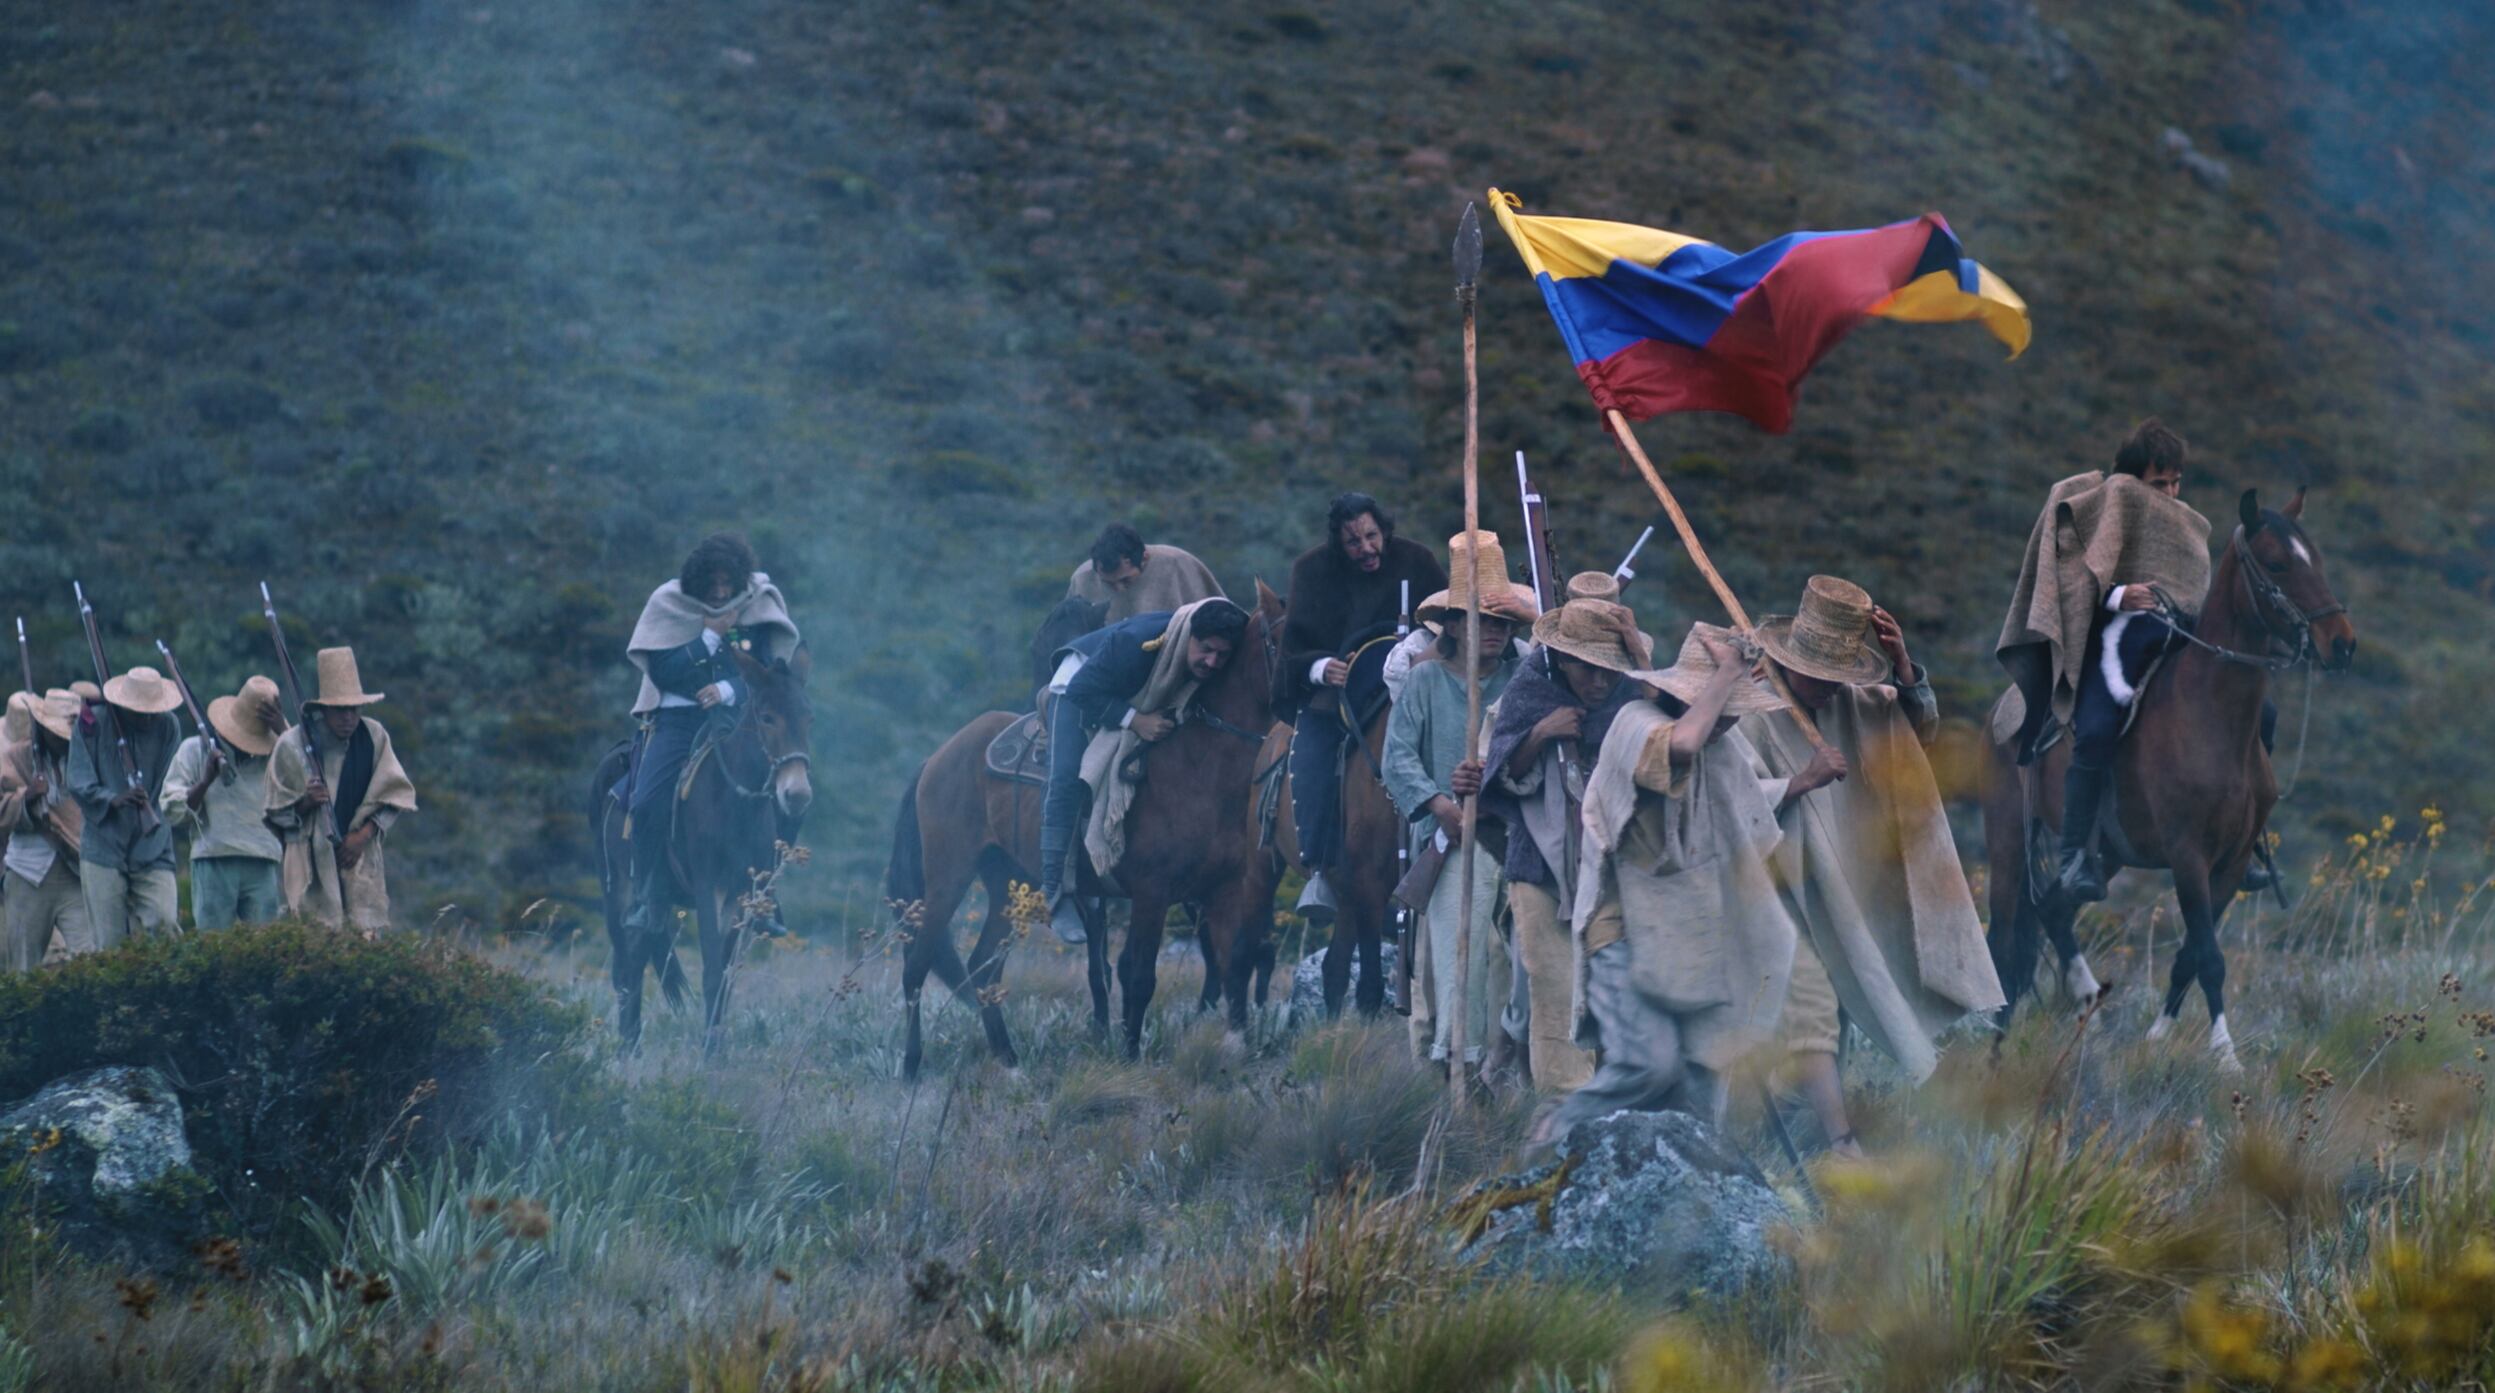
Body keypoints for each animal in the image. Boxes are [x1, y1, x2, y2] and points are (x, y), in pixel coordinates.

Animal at [591, 645, 816, 1053]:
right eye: (767, 716)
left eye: (809, 717)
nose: (796, 794)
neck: (734, 801)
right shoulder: (709, 886)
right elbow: (711, 969)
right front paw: (709, 1053)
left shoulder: (743, 893)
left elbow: (726, 974)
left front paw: (717, 1047)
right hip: (617, 893)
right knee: (625, 969)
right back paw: (628, 1048)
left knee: (638, 953)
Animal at [887, 585, 1285, 1075]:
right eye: (1278, 640)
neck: (1199, 765)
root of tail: (938, 757)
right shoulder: (1152, 893)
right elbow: (1137, 974)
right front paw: (1130, 1057)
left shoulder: (1224, 891)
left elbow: (1234, 967)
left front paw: (1236, 1051)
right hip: (949, 876)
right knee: (917, 964)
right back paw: (911, 1067)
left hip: (1005, 881)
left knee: (982, 967)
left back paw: (1010, 1059)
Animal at [1982, 488, 2356, 1069]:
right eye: (2277, 565)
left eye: (2314, 558)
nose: (2341, 643)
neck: (2210, 716)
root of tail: (2008, 708)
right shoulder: (2188, 857)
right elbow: (2209, 955)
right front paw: (2225, 1055)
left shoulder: (2231, 863)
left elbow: (2190, 957)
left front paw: (2158, 1037)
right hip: (2005, 842)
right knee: (2003, 938)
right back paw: (1997, 1045)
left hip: (2105, 855)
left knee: (2053, 911)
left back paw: (2088, 1004)